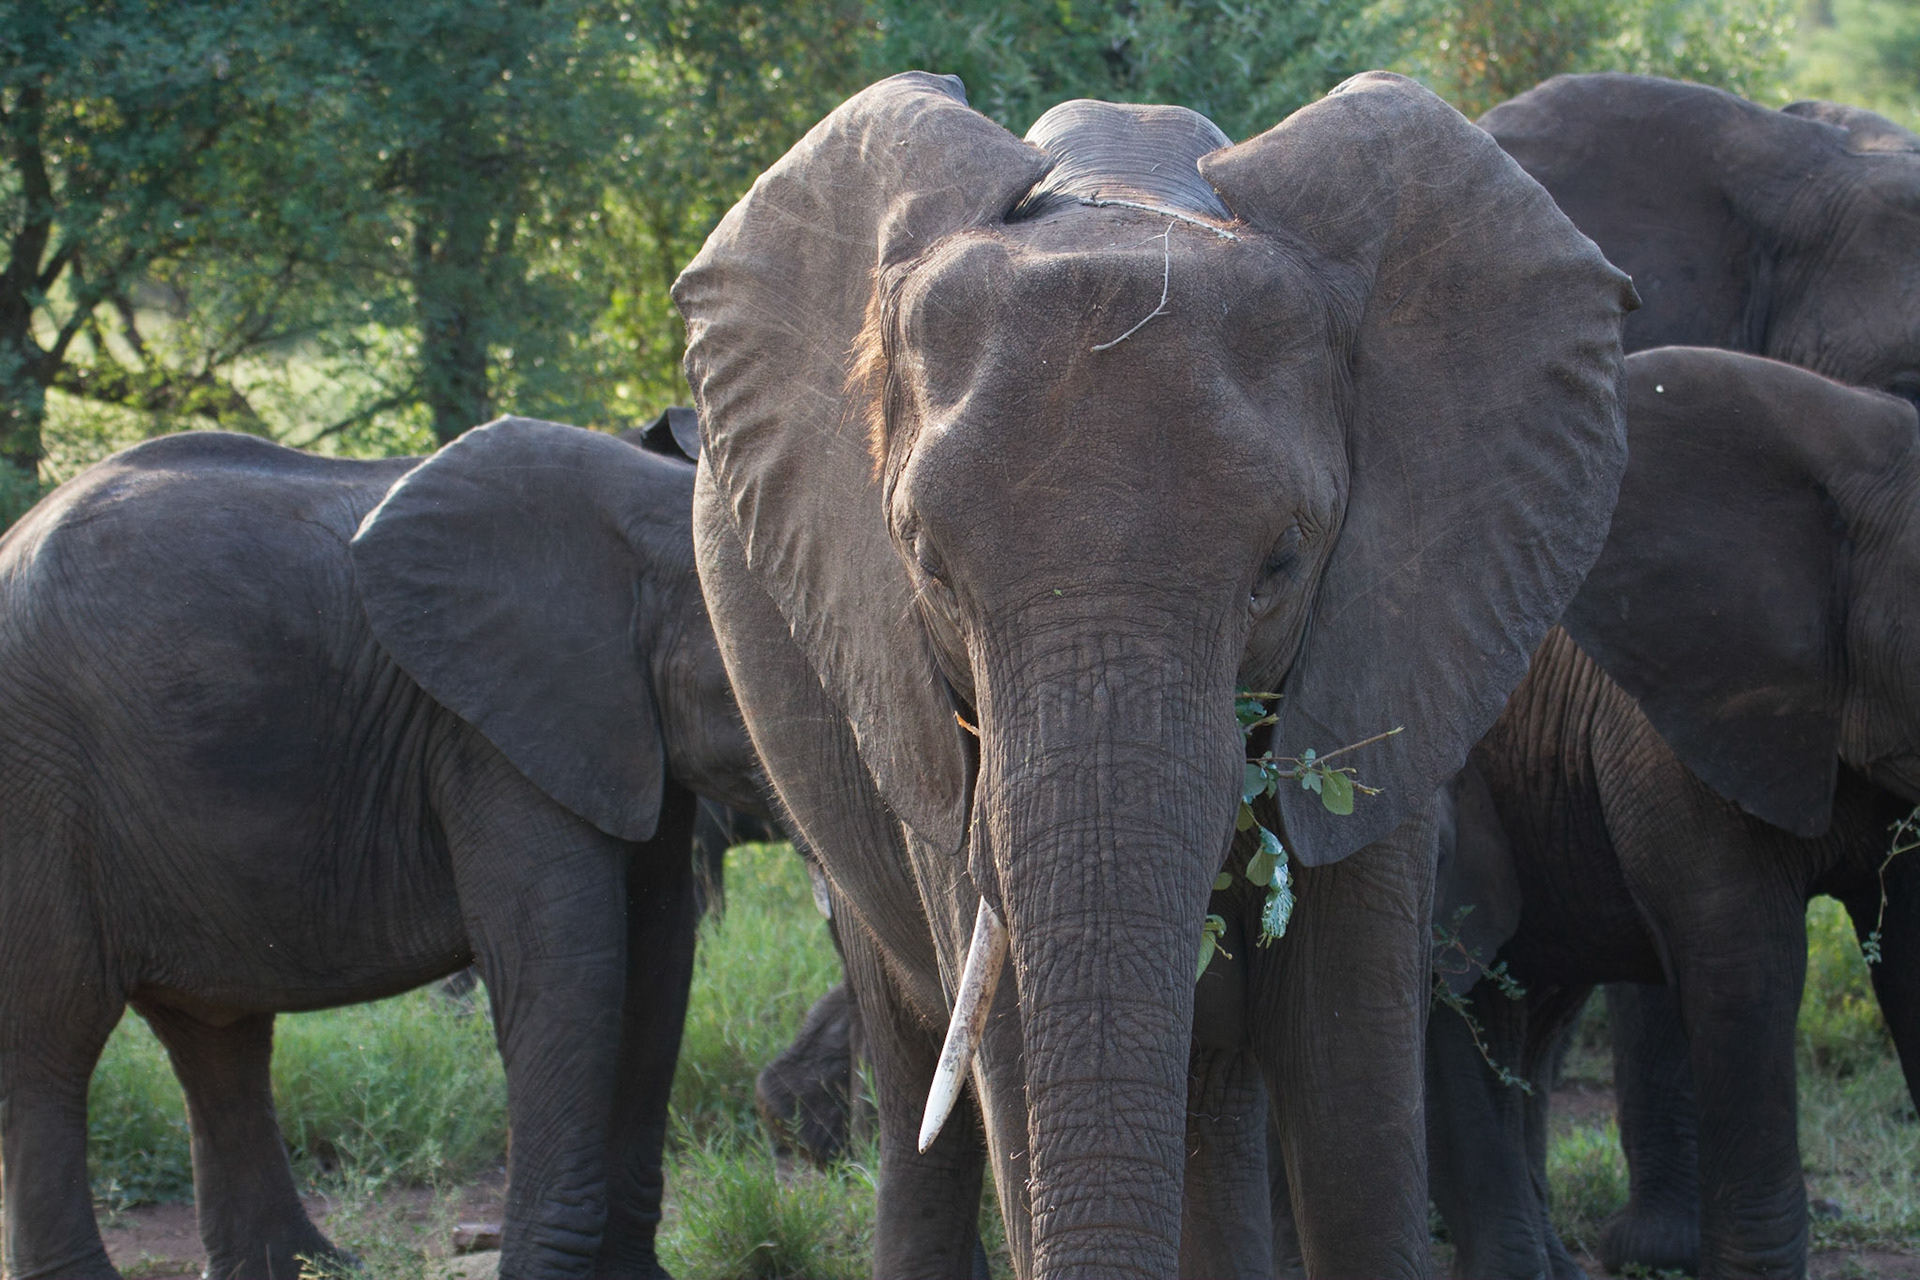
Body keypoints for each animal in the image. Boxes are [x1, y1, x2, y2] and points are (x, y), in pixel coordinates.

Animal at [0, 417, 762, 1280]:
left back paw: (308, 1265)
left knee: (217, 1043)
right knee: (52, 1038)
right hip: (37, 787)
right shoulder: (485, 735)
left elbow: (661, 964)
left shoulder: (621, 732)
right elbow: (568, 968)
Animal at [673, 70, 1635, 1278]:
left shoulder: (1397, 648)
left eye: (1282, 561)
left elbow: (1351, 1099)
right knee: (918, 1069)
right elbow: (1012, 1068)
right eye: (927, 565)